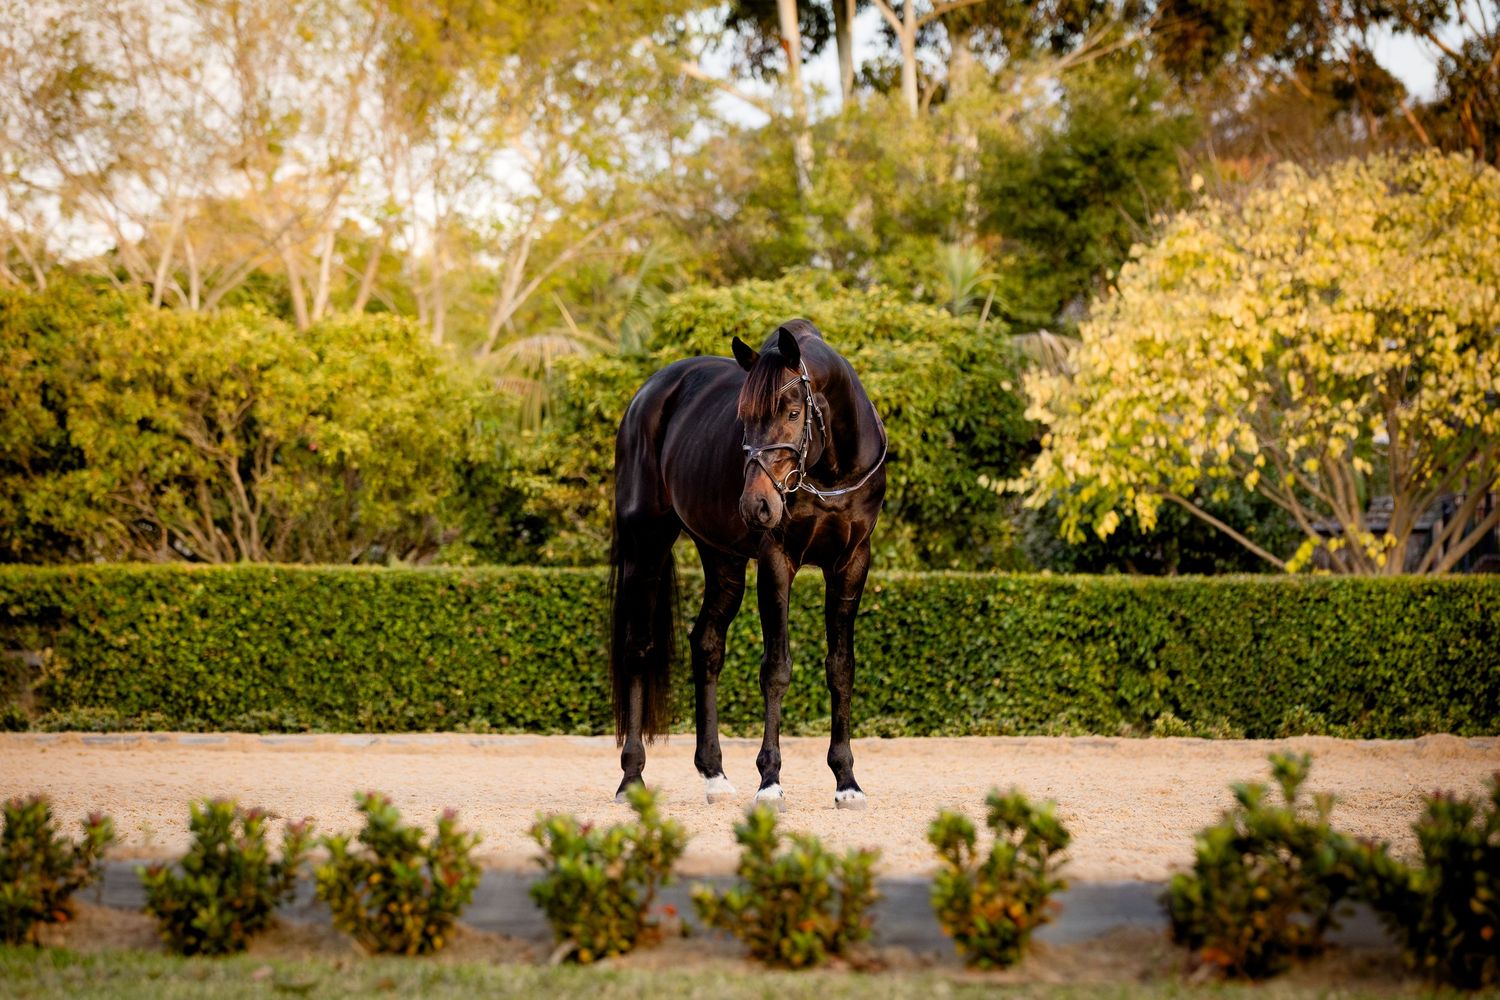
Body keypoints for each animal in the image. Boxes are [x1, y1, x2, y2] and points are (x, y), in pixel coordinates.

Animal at [608, 318, 887, 810]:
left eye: (793, 413)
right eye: (745, 417)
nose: (756, 506)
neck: (831, 474)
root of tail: (648, 394)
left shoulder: (852, 562)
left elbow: (841, 667)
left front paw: (846, 782)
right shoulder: (777, 560)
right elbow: (776, 668)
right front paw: (770, 781)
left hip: (722, 557)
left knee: (706, 644)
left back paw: (714, 776)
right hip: (646, 544)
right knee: (638, 648)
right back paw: (632, 779)